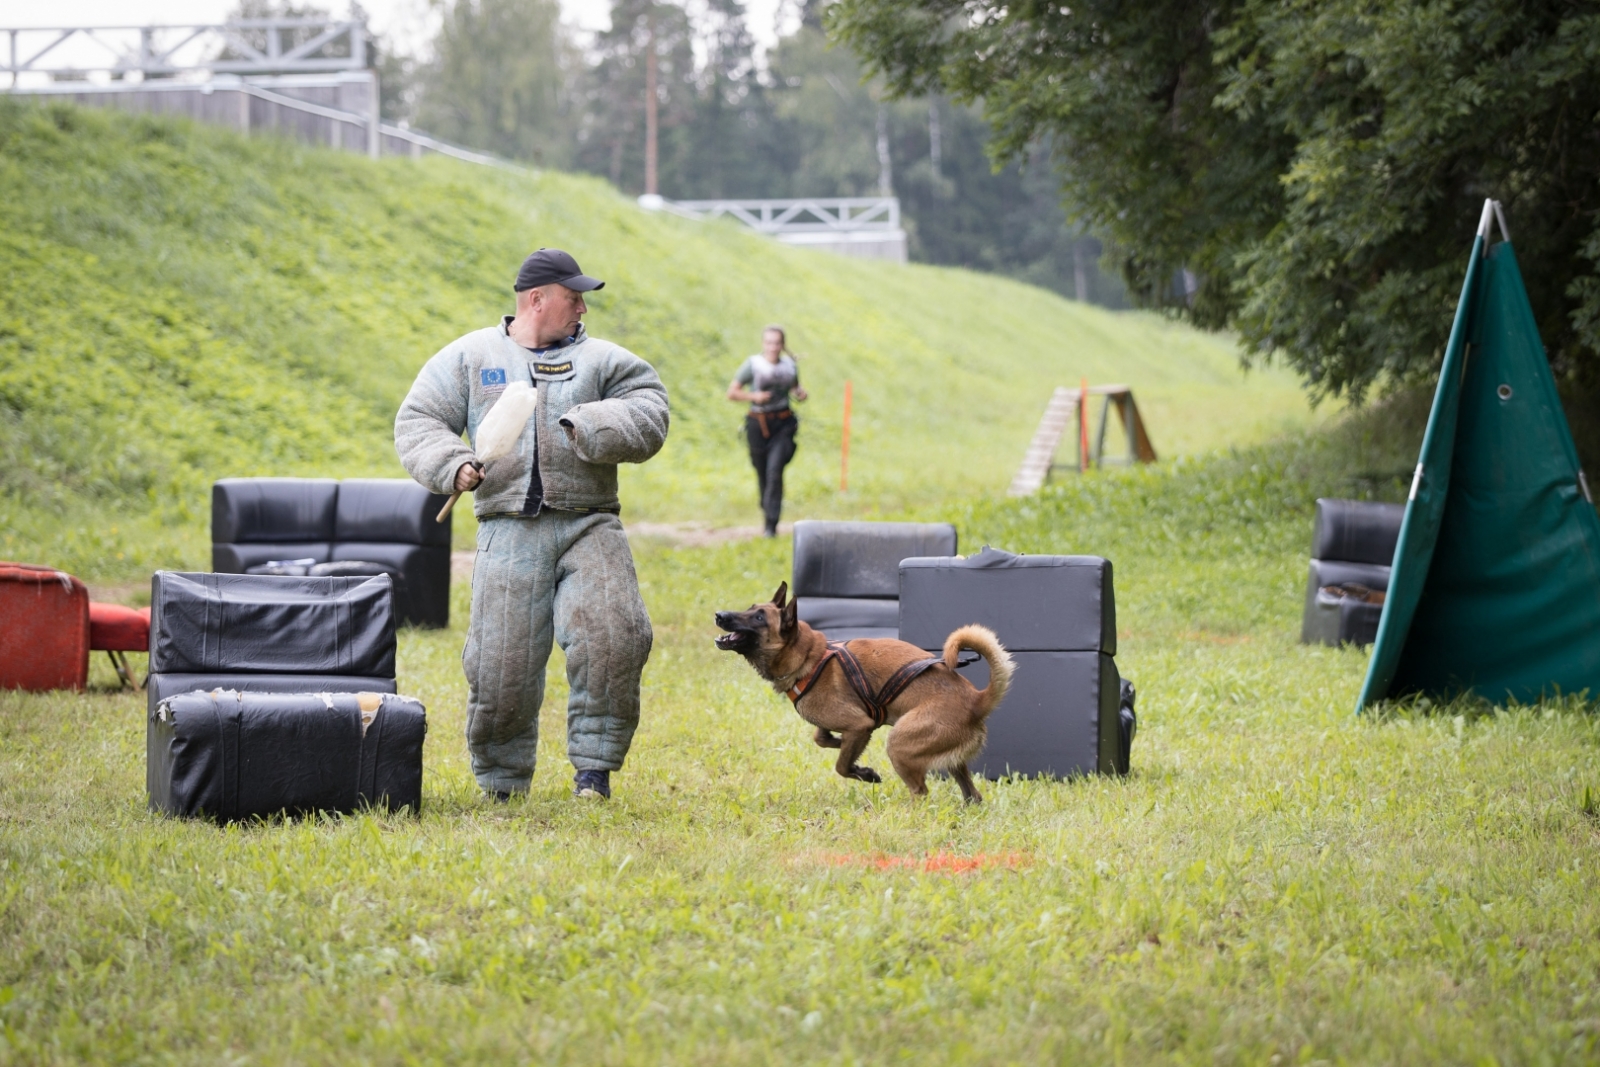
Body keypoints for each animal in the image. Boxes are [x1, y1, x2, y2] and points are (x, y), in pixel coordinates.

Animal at [716, 585, 1011, 799]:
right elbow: (821, 738)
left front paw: (863, 772)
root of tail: (977, 700)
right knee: (973, 796)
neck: (808, 657)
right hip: (953, 762)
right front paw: (847, 753)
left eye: (758, 617)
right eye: (751, 609)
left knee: (920, 792)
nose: (719, 615)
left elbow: (841, 765)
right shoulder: (845, 725)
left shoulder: (859, 724)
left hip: (900, 745)